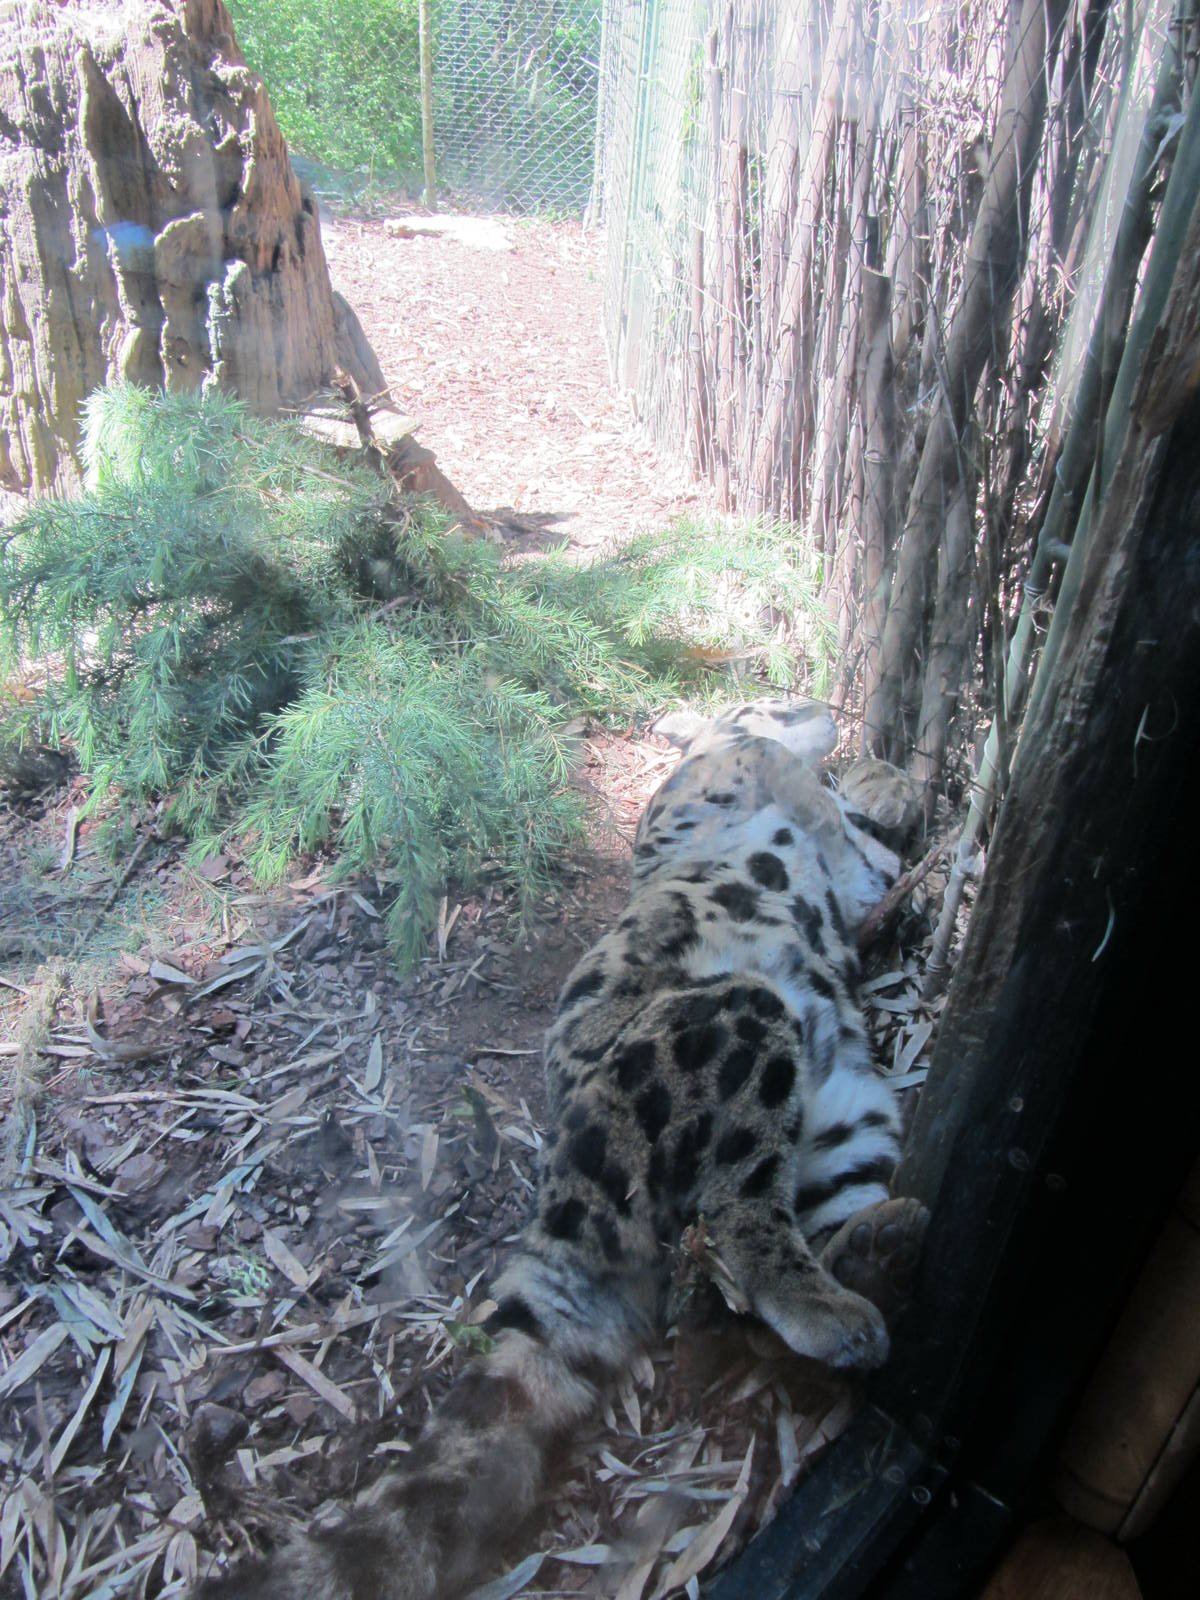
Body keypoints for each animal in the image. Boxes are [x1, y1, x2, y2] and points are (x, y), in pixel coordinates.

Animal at [196, 699, 929, 1600]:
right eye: (777, 705)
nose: (828, 713)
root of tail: (564, 1203)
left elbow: (854, 840)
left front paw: (877, 794)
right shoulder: (731, 777)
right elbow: (784, 772)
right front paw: (846, 775)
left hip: (852, 1122)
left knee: (758, 1272)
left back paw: (873, 1249)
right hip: (737, 1021)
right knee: (736, 1225)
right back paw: (837, 1305)